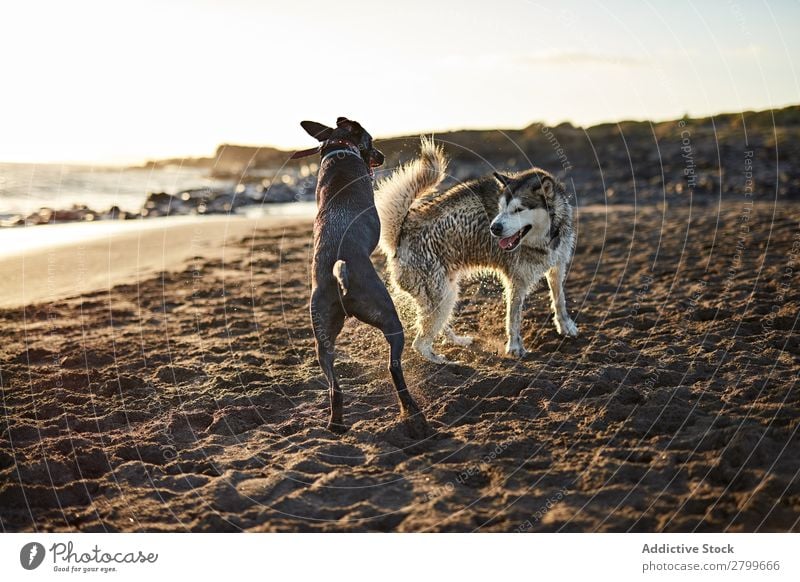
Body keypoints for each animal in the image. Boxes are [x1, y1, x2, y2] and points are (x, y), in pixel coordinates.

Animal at [292, 117, 428, 438]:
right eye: (372, 139)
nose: (381, 156)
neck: (339, 147)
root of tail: (339, 274)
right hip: (389, 317)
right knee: (394, 367)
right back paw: (412, 412)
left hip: (322, 338)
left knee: (334, 386)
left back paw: (336, 422)